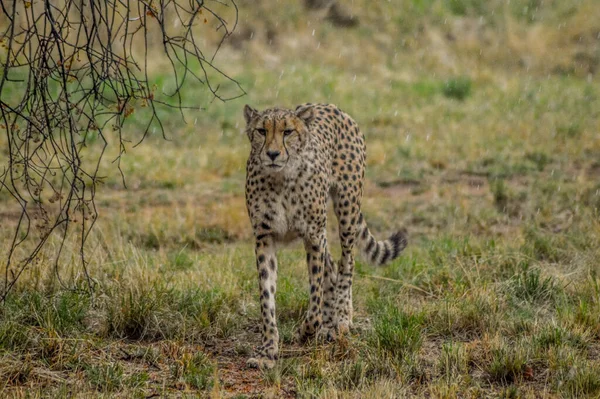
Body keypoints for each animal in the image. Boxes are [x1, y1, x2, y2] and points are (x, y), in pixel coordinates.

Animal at [244, 104, 408, 372]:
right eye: (261, 130)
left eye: (288, 131)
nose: (272, 154)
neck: (281, 179)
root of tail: (331, 106)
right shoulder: (264, 238)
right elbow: (267, 298)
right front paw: (267, 351)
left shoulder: (313, 235)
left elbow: (315, 295)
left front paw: (307, 331)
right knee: (332, 267)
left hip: (347, 207)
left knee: (346, 262)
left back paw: (341, 319)